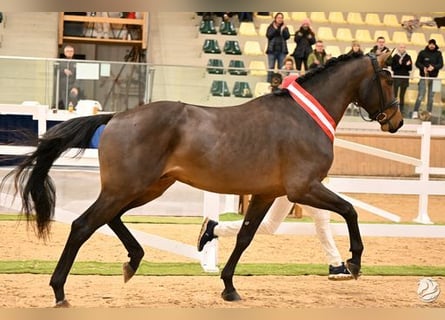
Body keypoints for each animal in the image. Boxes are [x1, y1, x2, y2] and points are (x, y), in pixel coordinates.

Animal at [0, 52, 402, 304]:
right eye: (387, 79)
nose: (396, 121)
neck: (303, 116)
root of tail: (115, 116)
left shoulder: (267, 194)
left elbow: (244, 237)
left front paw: (228, 287)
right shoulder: (304, 188)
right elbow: (350, 210)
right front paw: (354, 262)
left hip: (146, 187)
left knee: (110, 219)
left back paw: (133, 260)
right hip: (128, 187)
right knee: (83, 225)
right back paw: (59, 291)